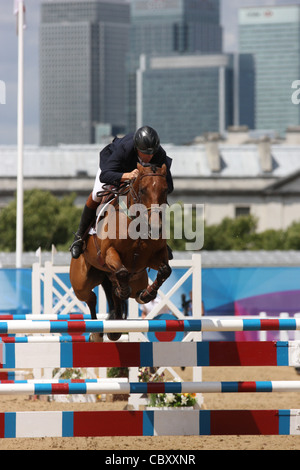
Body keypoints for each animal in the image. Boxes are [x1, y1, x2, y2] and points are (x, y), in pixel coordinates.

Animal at [70, 163, 172, 340]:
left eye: (165, 190)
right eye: (143, 190)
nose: (155, 228)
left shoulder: (154, 257)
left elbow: (165, 270)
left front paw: (148, 294)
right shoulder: (109, 253)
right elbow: (122, 272)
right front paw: (122, 290)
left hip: (137, 279)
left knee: (122, 293)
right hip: (81, 284)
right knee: (91, 298)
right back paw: (96, 333)